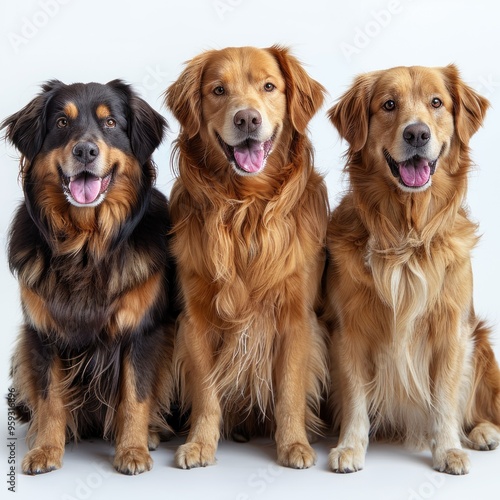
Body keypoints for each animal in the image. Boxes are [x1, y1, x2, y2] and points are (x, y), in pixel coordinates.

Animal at [1, 80, 174, 474]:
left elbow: (135, 395)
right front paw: (46, 450)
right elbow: (50, 396)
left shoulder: (142, 331)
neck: (85, 245)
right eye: (62, 123)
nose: (84, 150)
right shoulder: (42, 333)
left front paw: (132, 450)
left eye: (110, 123)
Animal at [164, 46, 328, 468]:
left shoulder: (296, 317)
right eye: (218, 90)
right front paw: (200, 443)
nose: (247, 118)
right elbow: (206, 392)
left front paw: (293, 444)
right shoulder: (196, 319)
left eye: (269, 86)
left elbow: (289, 391)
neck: (245, 207)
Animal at [324, 64, 500, 474]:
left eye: (436, 102)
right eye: (389, 104)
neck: (407, 233)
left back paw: (482, 432)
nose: (417, 133)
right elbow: (355, 397)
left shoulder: (453, 329)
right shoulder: (349, 329)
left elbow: (446, 399)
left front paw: (448, 448)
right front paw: (350, 447)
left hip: (481, 342)